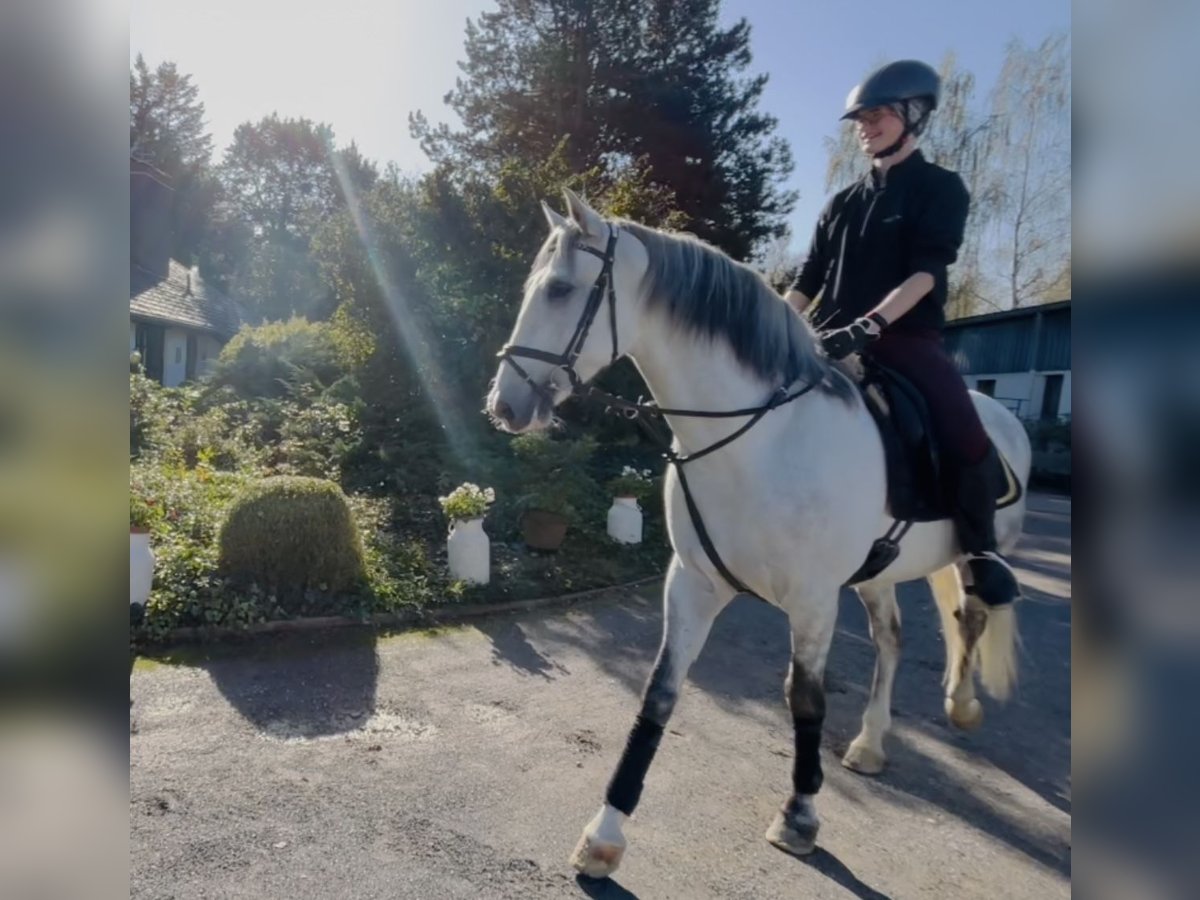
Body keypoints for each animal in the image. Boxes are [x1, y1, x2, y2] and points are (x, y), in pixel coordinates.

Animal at [487, 187, 1032, 878]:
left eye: (560, 289)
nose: (504, 406)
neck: (759, 439)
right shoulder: (693, 584)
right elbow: (659, 692)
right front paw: (607, 831)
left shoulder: (813, 601)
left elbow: (805, 700)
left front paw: (799, 817)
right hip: (877, 574)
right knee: (892, 639)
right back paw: (871, 743)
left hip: (976, 550)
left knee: (973, 613)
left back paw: (961, 706)